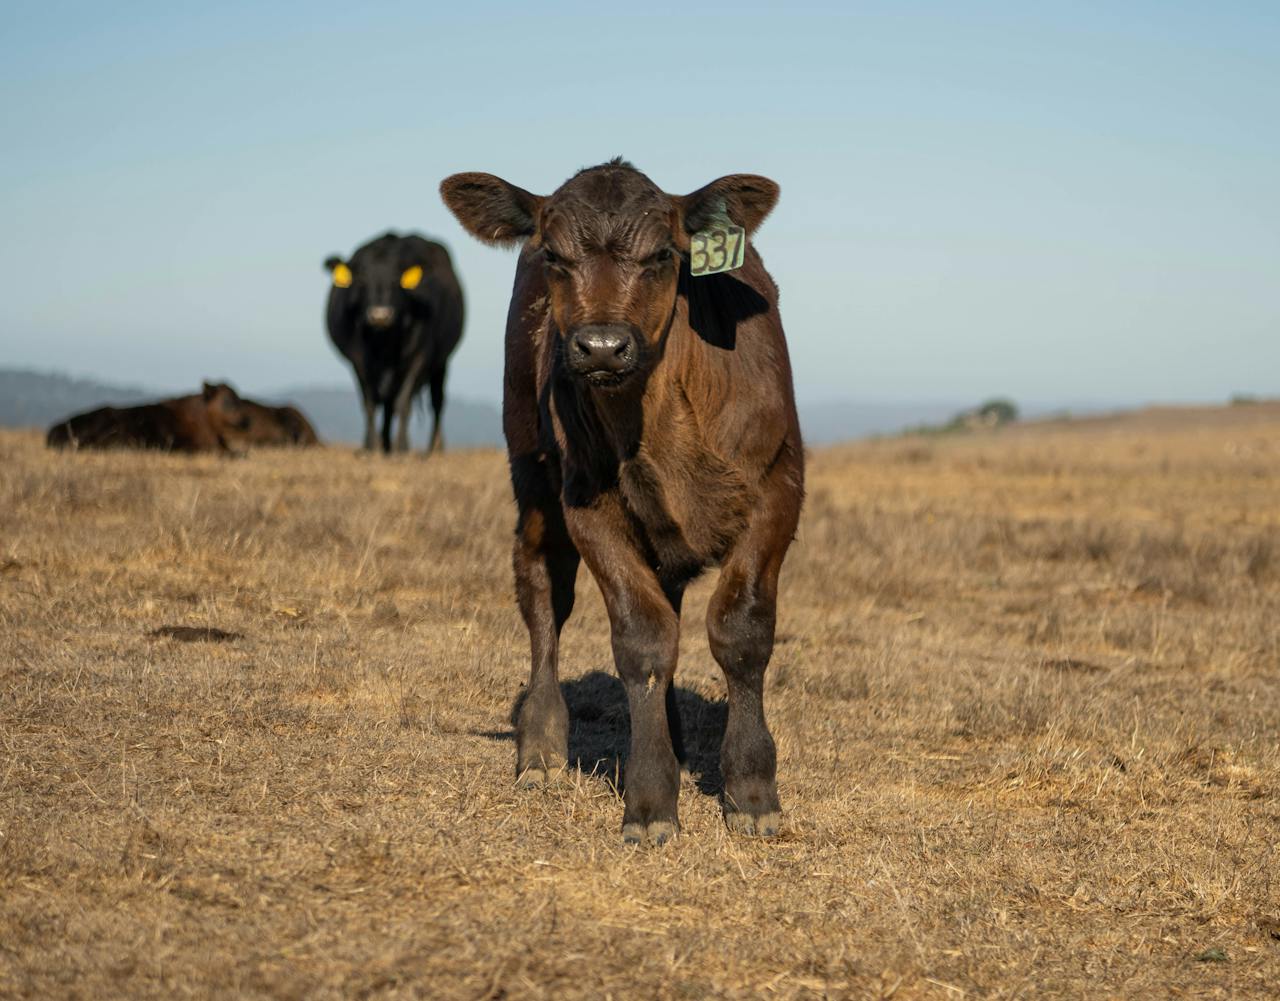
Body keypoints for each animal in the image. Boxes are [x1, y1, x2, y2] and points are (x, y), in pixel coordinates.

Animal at [323, 232, 464, 453]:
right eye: (363, 281)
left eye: (396, 281)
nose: (380, 315)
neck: (385, 339)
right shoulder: (358, 360)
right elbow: (370, 403)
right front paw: (371, 447)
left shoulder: (420, 356)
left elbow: (403, 402)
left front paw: (402, 447)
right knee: (387, 403)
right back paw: (384, 445)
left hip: (441, 363)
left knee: (436, 402)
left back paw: (434, 448)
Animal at [441, 159, 804, 845]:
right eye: (554, 255)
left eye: (664, 254)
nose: (603, 346)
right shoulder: (589, 508)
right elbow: (642, 640)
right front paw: (651, 800)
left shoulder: (778, 489)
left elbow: (740, 629)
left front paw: (751, 790)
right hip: (532, 476)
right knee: (544, 592)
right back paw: (541, 748)